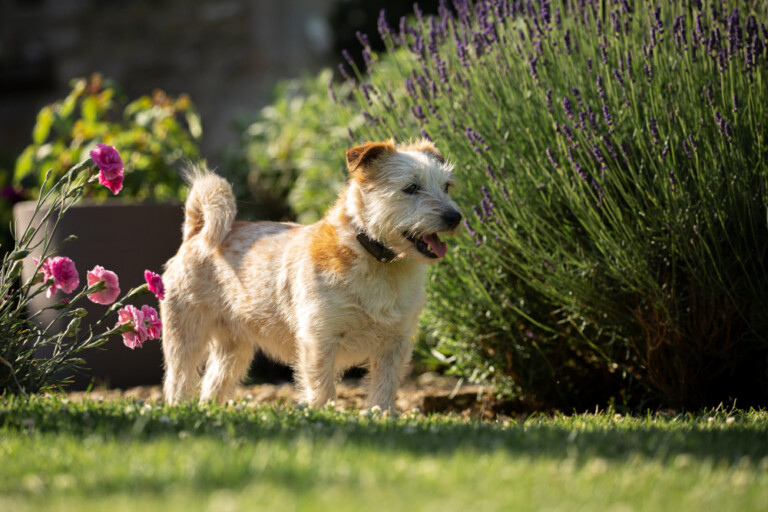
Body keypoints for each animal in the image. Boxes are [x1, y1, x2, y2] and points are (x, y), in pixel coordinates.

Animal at [160, 138, 462, 410]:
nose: (455, 217)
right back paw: (178, 409)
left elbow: (384, 391)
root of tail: (195, 232)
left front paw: (383, 418)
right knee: (178, 381)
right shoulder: (319, 340)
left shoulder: (395, 345)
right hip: (185, 339)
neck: (377, 262)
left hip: (234, 349)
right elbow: (322, 389)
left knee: (212, 385)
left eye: (446, 186)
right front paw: (321, 418)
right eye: (411, 187)